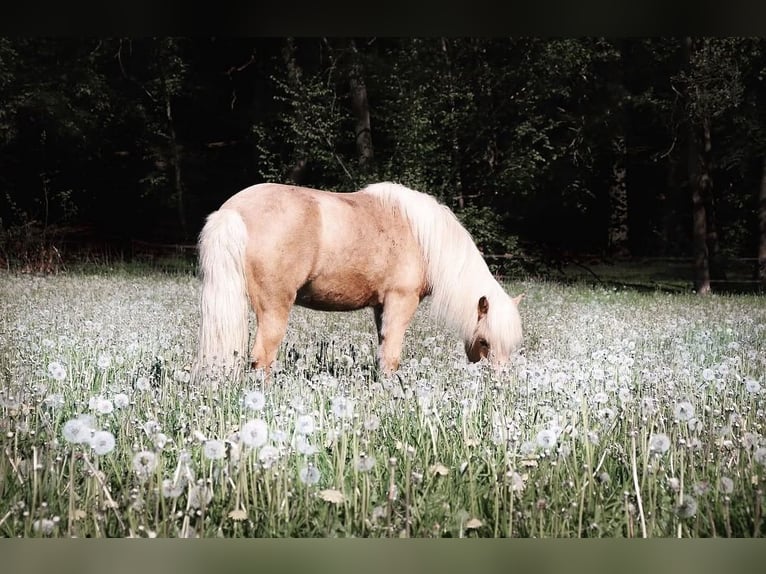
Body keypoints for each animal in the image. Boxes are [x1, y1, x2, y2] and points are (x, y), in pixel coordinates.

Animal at [194, 182, 523, 378]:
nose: (499, 384)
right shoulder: (401, 302)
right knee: (263, 357)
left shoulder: (381, 307)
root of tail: (233, 210)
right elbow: (392, 355)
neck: (423, 238)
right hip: (275, 308)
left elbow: (383, 349)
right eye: (484, 341)